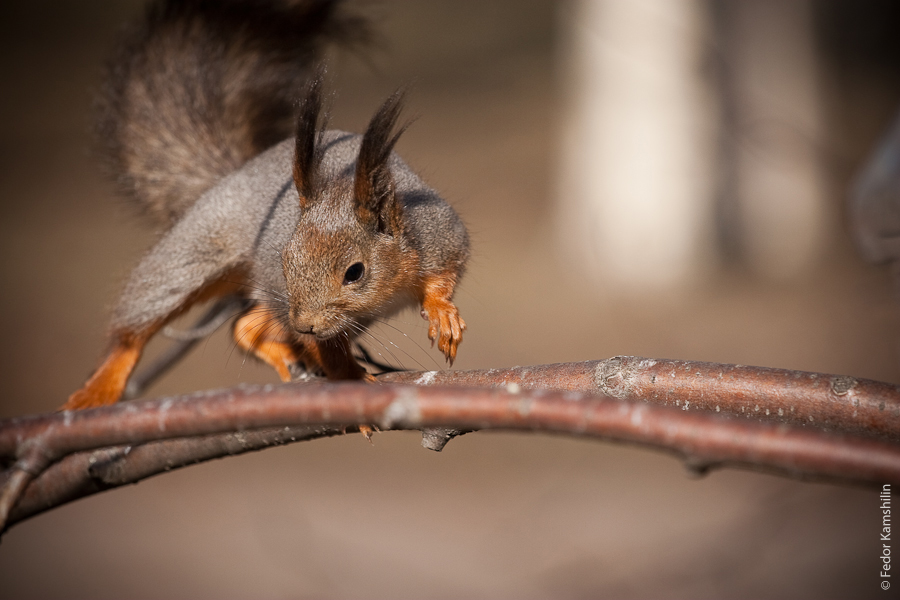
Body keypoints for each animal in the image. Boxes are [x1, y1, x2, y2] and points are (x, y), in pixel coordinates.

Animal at [61, 0, 472, 412]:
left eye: (355, 272)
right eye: (285, 259)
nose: (305, 324)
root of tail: (236, 173)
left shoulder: (439, 233)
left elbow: (445, 274)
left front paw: (441, 312)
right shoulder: (294, 300)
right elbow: (328, 348)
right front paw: (349, 378)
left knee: (244, 326)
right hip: (195, 258)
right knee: (136, 327)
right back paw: (99, 387)